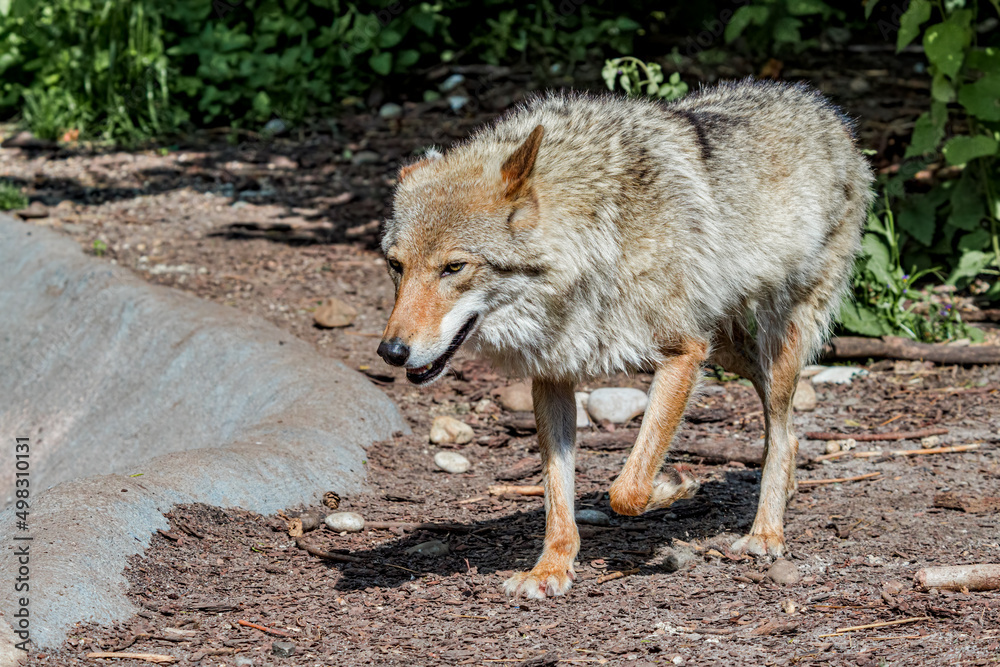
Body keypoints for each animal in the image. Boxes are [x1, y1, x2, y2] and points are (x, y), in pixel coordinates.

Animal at [378, 79, 874, 599]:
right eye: (396, 265)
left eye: (454, 267)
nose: (391, 352)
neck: (593, 241)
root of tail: (825, 109)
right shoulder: (553, 378)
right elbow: (558, 496)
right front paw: (550, 569)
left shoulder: (683, 353)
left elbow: (627, 489)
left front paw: (674, 487)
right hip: (727, 351)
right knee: (790, 432)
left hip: (770, 344)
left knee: (780, 431)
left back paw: (766, 533)